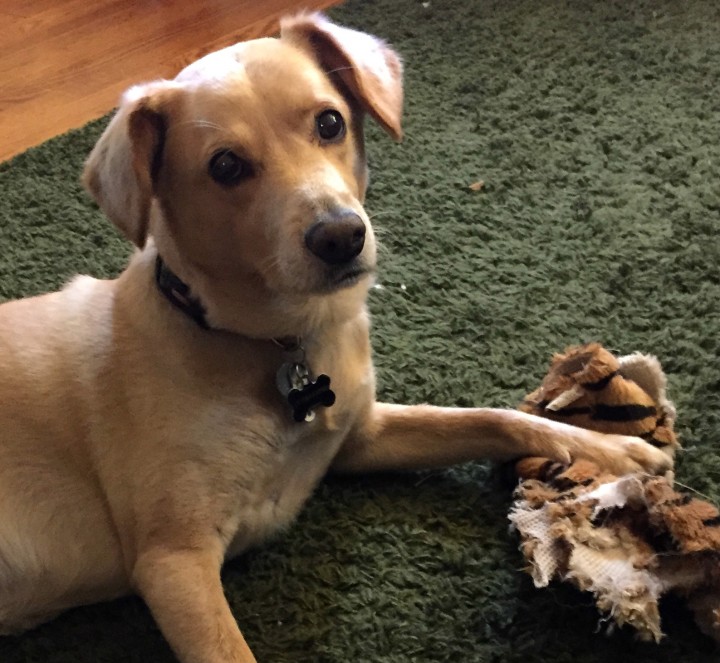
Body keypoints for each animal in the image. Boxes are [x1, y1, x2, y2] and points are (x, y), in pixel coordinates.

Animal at [0, 11, 672, 663]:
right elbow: (229, 650)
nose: (341, 236)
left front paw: (609, 451)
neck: (275, 342)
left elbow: (491, 417)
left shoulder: (360, 438)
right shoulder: (173, 559)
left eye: (330, 122)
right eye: (225, 166)